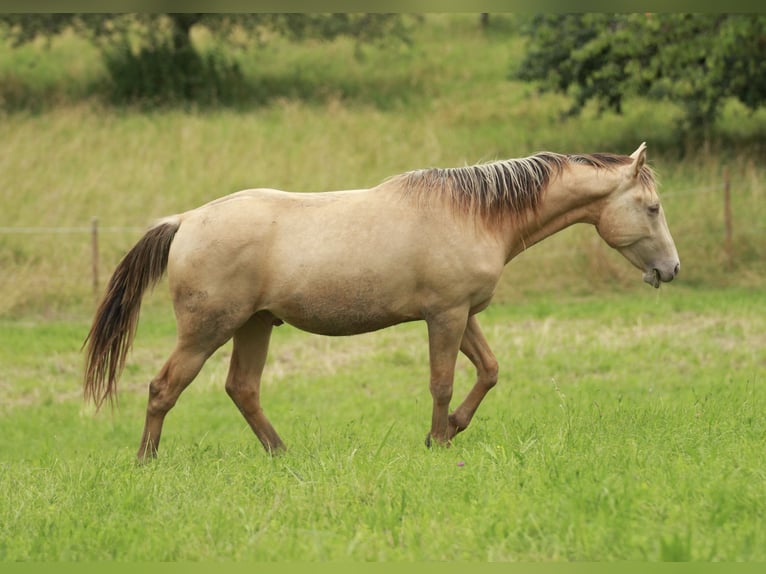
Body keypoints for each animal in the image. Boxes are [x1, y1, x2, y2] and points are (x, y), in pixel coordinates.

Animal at [84, 143, 680, 464]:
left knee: (242, 389)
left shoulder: (462, 314)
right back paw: (146, 462)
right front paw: (439, 440)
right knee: (163, 388)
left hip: (255, 325)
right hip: (207, 330)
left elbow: (488, 371)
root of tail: (184, 221)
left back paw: (282, 454)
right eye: (651, 208)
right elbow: (442, 382)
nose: (671, 269)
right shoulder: (445, 316)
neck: (475, 214)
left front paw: (452, 429)